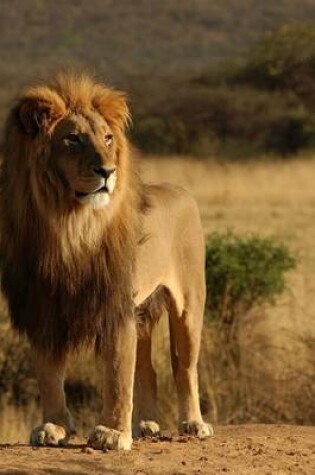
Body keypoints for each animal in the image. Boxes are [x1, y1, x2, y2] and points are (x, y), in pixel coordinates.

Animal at [0, 73, 214, 450]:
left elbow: (116, 373)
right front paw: (54, 427)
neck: (68, 226)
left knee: (184, 367)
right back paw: (145, 424)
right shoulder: (43, 306)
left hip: (188, 304)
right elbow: (49, 374)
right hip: (143, 312)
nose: (108, 171)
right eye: (72, 138)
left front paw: (111, 433)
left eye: (107, 138)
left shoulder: (115, 306)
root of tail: (181, 190)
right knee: (148, 369)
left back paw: (193, 423)